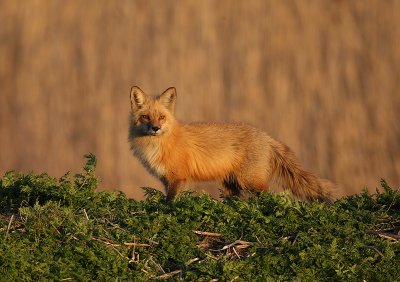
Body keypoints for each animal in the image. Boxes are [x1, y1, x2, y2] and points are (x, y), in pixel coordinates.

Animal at [129, 86, 334, 203]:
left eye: (162, 117)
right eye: (146, 117)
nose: (155, 128)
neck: (158, 145)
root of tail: (265, 136)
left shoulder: (178, 177)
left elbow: (169, 203)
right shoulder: (166, 179)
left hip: (249, 180)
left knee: (268, 195)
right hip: (231, 184)